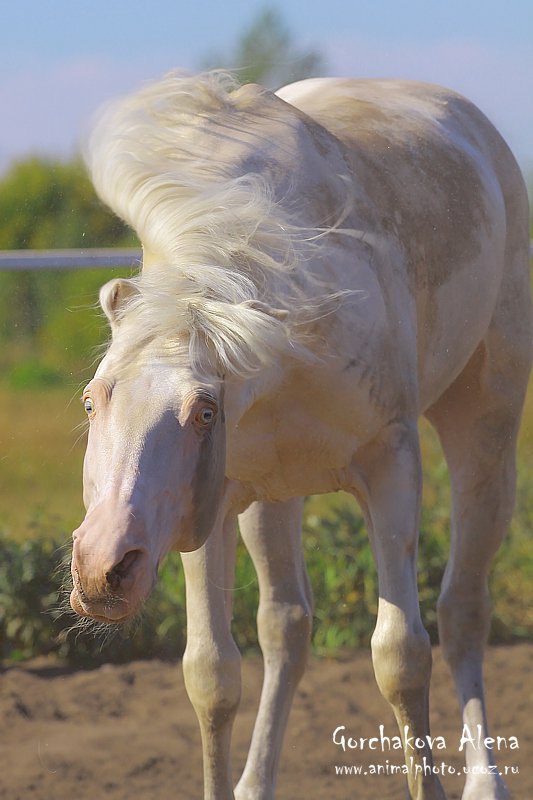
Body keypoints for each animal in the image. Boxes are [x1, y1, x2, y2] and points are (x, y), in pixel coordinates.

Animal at [69, 72, 528, 796]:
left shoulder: (392, 469)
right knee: (286, 627)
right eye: (91, 402)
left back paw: (486, 782)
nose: (101, 569)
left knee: (462, 612)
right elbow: (212, 673)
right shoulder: (206, 509)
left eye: (204, 411)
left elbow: (401, 657)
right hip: (272, 500)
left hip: (484, 430)